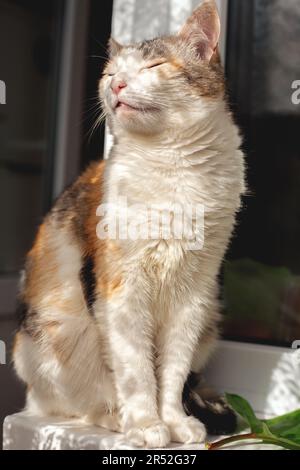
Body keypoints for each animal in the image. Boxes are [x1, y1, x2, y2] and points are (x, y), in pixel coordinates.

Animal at [12, 0, 245, 448]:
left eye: (154, 64)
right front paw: (146, 425)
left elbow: (172, 372)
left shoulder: (193, 296)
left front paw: (175, 423)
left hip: (211, 313)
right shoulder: (120, 291)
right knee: (72, 402)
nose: (116, 85)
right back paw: (115, 418)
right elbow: (136, 370)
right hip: (49, 337)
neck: (174, 166)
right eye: (108, 73)